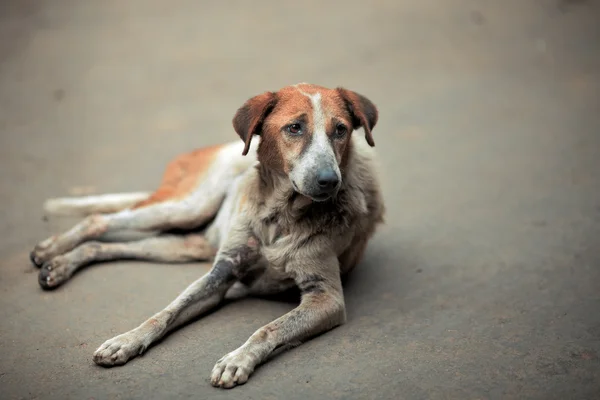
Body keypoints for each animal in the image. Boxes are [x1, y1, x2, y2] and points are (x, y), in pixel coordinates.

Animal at [29, 83, 384, 388]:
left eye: (340, 130)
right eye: (295, 128)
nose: (330, 181)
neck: (278, 215)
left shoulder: (325, 298)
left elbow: (268, 328)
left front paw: (237, 359)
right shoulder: (222, 272)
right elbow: (165, 313)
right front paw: (126, 340)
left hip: (186, 244)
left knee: (102, 245)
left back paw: (60, 265)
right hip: (186, 207)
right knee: (98, 220)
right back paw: (51, 250)